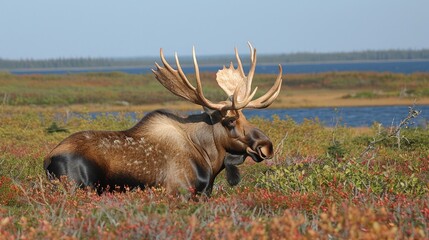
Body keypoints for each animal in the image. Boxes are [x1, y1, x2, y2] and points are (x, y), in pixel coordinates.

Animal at [44, 43, 280, 197]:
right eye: (230, 121)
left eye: (245, 116)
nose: (266, 146)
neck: (209, 158)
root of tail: (47, 161)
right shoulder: (179, 191)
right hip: (79, 188)